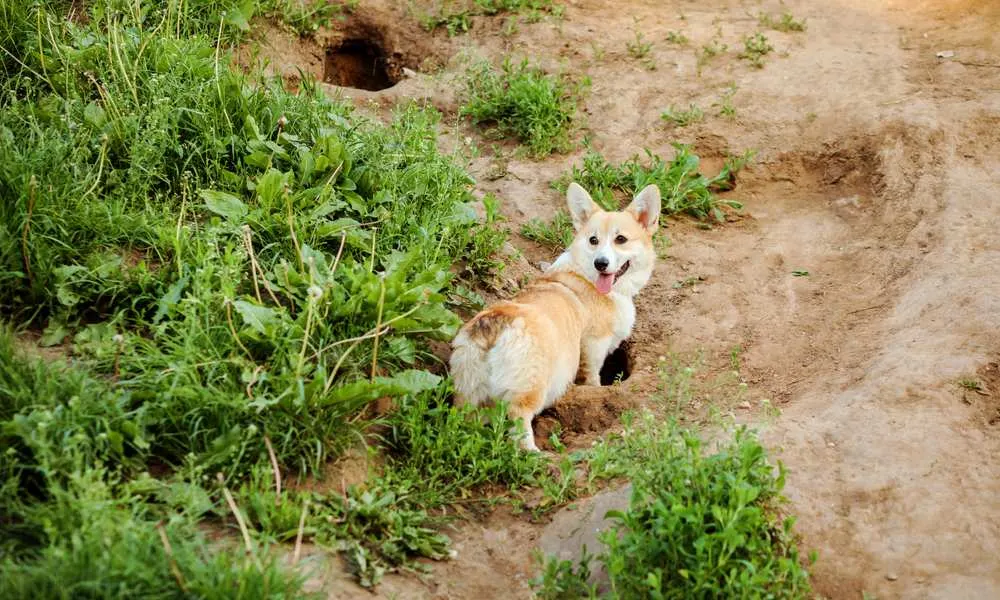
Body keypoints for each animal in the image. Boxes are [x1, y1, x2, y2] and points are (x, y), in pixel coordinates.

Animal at [450, 183, 660, 450]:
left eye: (620, 239)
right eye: (593, 240)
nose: (601, 263)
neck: (588, 275)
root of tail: (495, 324)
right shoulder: (594, 345)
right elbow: (592, 378)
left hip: (468, 390)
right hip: (531, 387)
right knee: (518, 417)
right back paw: (533, 454)